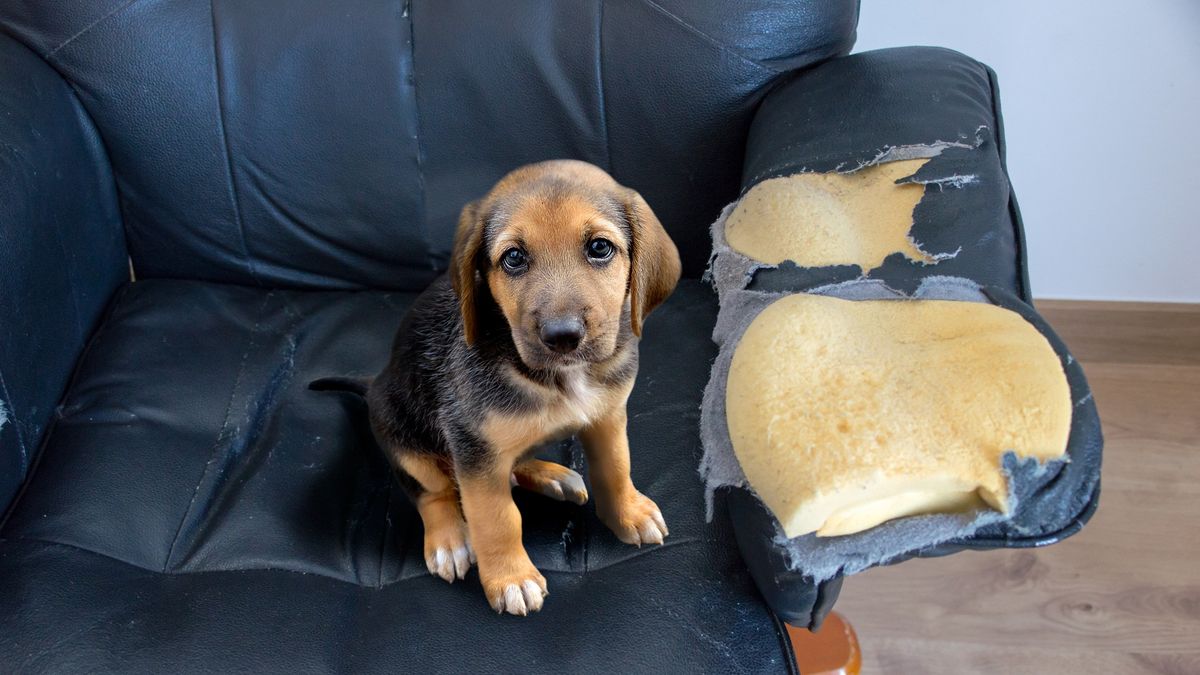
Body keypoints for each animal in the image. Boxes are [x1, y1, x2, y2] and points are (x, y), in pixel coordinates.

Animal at [367, 159, 686, 612]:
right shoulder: (473, 446)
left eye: (600, 248)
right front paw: (510, 577)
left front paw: (628, 512)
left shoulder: (608, 416)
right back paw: (448, 540)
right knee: (433, 491)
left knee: (514, 463)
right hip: (401, 432)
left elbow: (616, 467)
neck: (561, 378)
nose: (563, 336)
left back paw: (553, 475)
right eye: (514, 258)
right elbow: (497, 517)